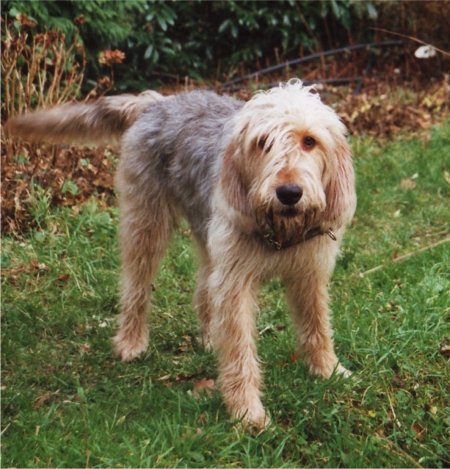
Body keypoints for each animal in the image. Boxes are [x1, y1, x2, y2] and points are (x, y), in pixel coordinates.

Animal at [6, 79, 356, 428]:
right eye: (262, 142)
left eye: (309, 141)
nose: (289, 193)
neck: (281, 229)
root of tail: (157, 102)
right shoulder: (236, 283)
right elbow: (239, 349)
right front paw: (247, 411)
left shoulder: (309, 272)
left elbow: (317, 325)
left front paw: (329, 370)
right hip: (145, 224)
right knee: (135, 286)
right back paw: (131, 341)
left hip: (205, 232)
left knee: (204, 288)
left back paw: (210, 336)